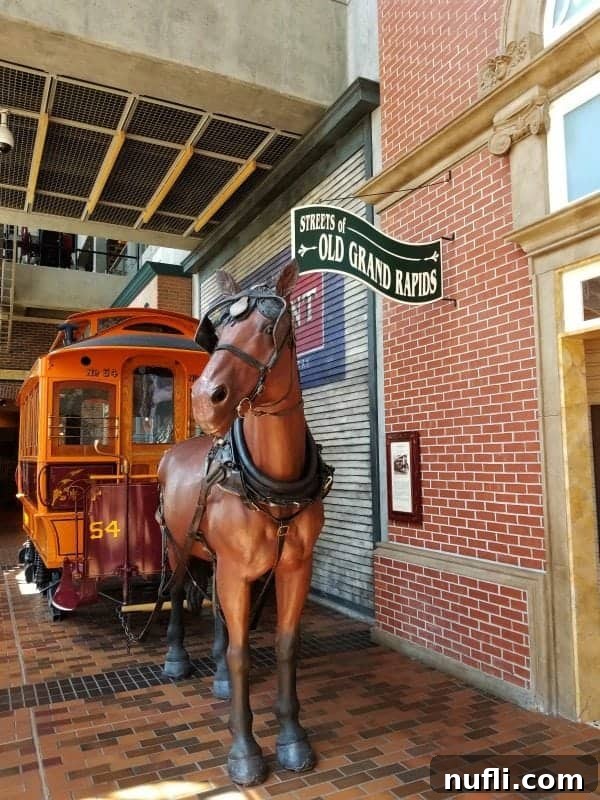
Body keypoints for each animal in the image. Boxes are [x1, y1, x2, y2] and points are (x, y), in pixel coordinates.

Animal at [156, 260, 333, 786]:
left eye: (269, 328)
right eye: (217, 334)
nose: (204, 398)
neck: (274, 484)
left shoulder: (294, 568)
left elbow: (285, 646)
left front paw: (293, 740)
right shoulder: (236, 571)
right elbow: (241, 654)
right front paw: (245, 751)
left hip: (217, 560)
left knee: (216, 610)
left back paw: (213, 674)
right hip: (177, 545)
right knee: (178, 593)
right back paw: (177, 660)